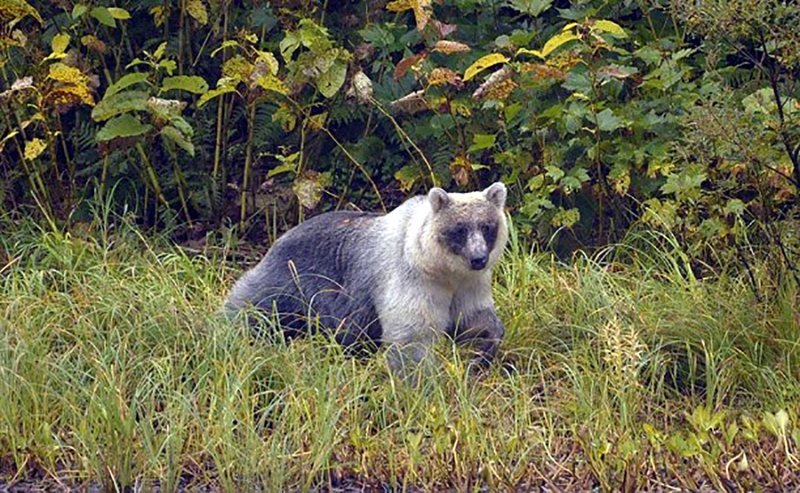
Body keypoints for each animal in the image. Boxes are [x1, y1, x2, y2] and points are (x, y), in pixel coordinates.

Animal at [225, 182, 510, 372]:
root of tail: (279, 237)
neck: (441, 268)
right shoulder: (411, 278)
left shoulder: (469, 284)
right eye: (459, 229)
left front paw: (482, 352)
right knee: (251, 306)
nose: (478, 258)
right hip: (290, 279)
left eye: (487, 226)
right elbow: (411, 334)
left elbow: (474, 319)